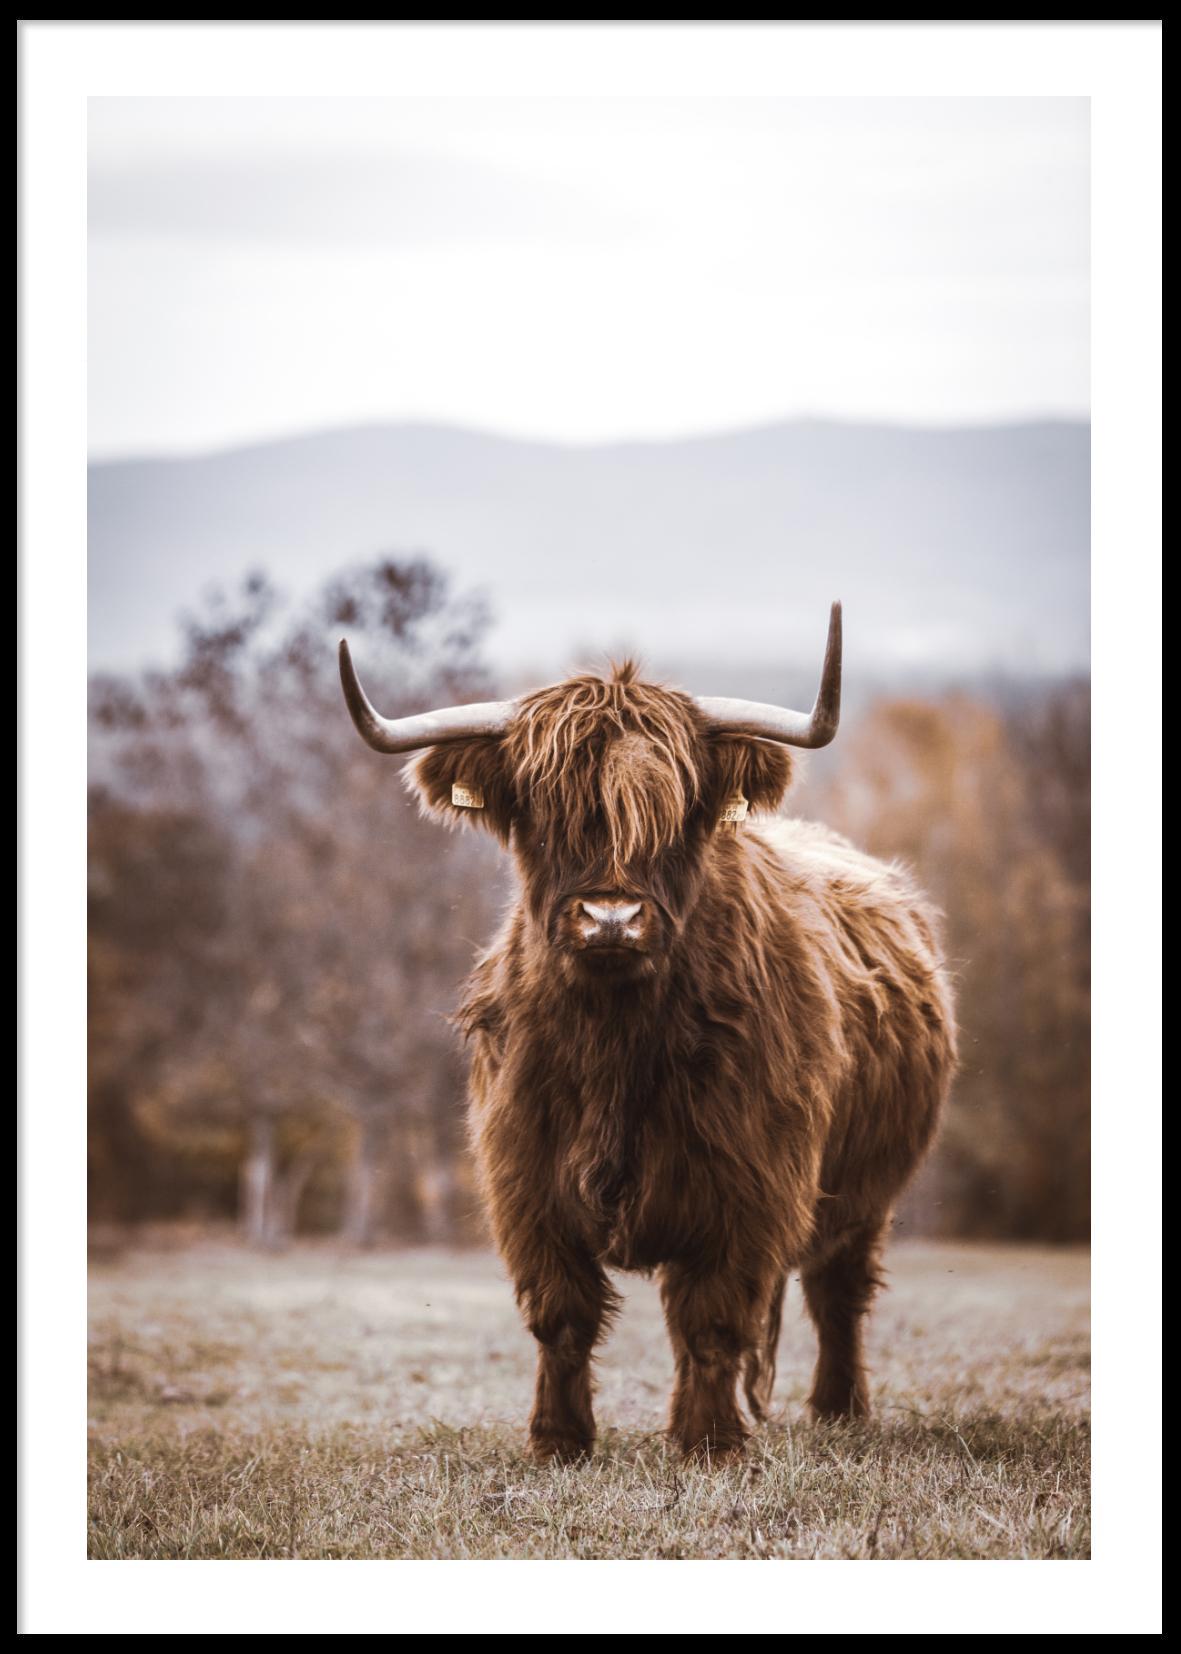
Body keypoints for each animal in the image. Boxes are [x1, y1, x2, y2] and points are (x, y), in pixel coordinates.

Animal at [335, 608, 952, 1462]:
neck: (613, 1041)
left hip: (866, 1190)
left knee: (837, 1291)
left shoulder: (747, 1184)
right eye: (541, 813)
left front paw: (708, 1441)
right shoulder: (524, 1180)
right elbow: (561, 1316)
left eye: (676, 815)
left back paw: (838, 1409)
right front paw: (558, 1440)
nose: (610, 918)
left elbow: (712, 1316)